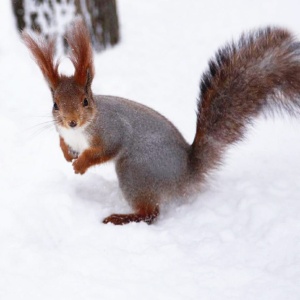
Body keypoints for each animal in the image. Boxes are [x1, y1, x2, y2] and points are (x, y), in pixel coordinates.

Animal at [22, 18, 300, 225]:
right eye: (55, 104)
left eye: (85, 101)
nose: (71, 122)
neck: (81, 131)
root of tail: (186, 175)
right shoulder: (64, 133)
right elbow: (62, 143)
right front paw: (67, 154)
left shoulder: (112, 130)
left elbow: (104, 150)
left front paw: (81, 164)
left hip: (135, 170)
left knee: (151, 213)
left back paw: (121, 218)